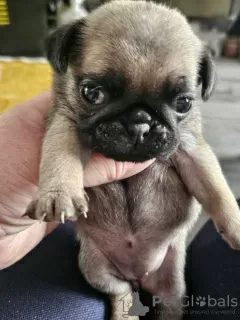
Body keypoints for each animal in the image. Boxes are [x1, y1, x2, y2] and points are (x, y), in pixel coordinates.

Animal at [24, 1, 240, 318]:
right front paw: (58, 194)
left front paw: (237, 227)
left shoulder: (192, 149)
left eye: (183, 103)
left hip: (172, 283)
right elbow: (60, 154)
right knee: (120, 292)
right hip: (95, 268)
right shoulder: (64, 121)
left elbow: (217, 189)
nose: (140, 122)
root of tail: (137, 275)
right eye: (92, 93)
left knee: (167, 299)